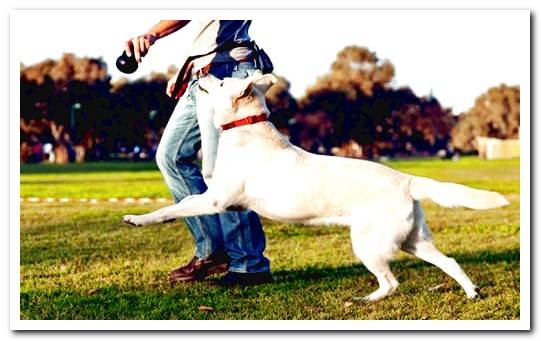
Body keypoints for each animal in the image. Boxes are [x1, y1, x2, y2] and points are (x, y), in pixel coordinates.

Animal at [124, 71, 508, 300]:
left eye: (221, 83)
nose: (202, 72)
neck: (247, 131)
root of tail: (406, 179)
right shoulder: (218, 200)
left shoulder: (216, 199)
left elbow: (174, 206)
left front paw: (137, 219)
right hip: (413, 240)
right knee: (450, 262)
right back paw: (472, 292)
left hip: (369, 244)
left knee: (391, 283)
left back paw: (365, 299)